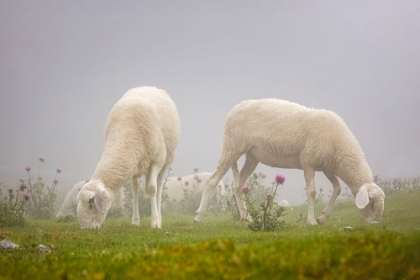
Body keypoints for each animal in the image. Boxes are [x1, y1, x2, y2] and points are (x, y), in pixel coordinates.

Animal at [76, 86, 180, 229]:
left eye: (91, 204)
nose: (85, 228)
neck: (125, 131)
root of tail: (148, 86)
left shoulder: (157, 160)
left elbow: (152, 189)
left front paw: (154, 222)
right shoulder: (132, 165)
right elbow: (134, 191)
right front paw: (135, 221)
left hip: (166, 159)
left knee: (159, 187)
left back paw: (159, 218)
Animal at [194, 98, 384, 225]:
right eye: (372, 202)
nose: (374, 224)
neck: (341, 150)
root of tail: (234, 108)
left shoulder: (327, 167)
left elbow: (337, 189)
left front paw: (322, 217)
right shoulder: (308, 161)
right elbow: (312, 192)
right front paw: (311, 221)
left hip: (252, 155)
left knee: (238, 185)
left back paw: (245, 217)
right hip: (232, 146)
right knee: (212, 180)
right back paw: (199, 216)